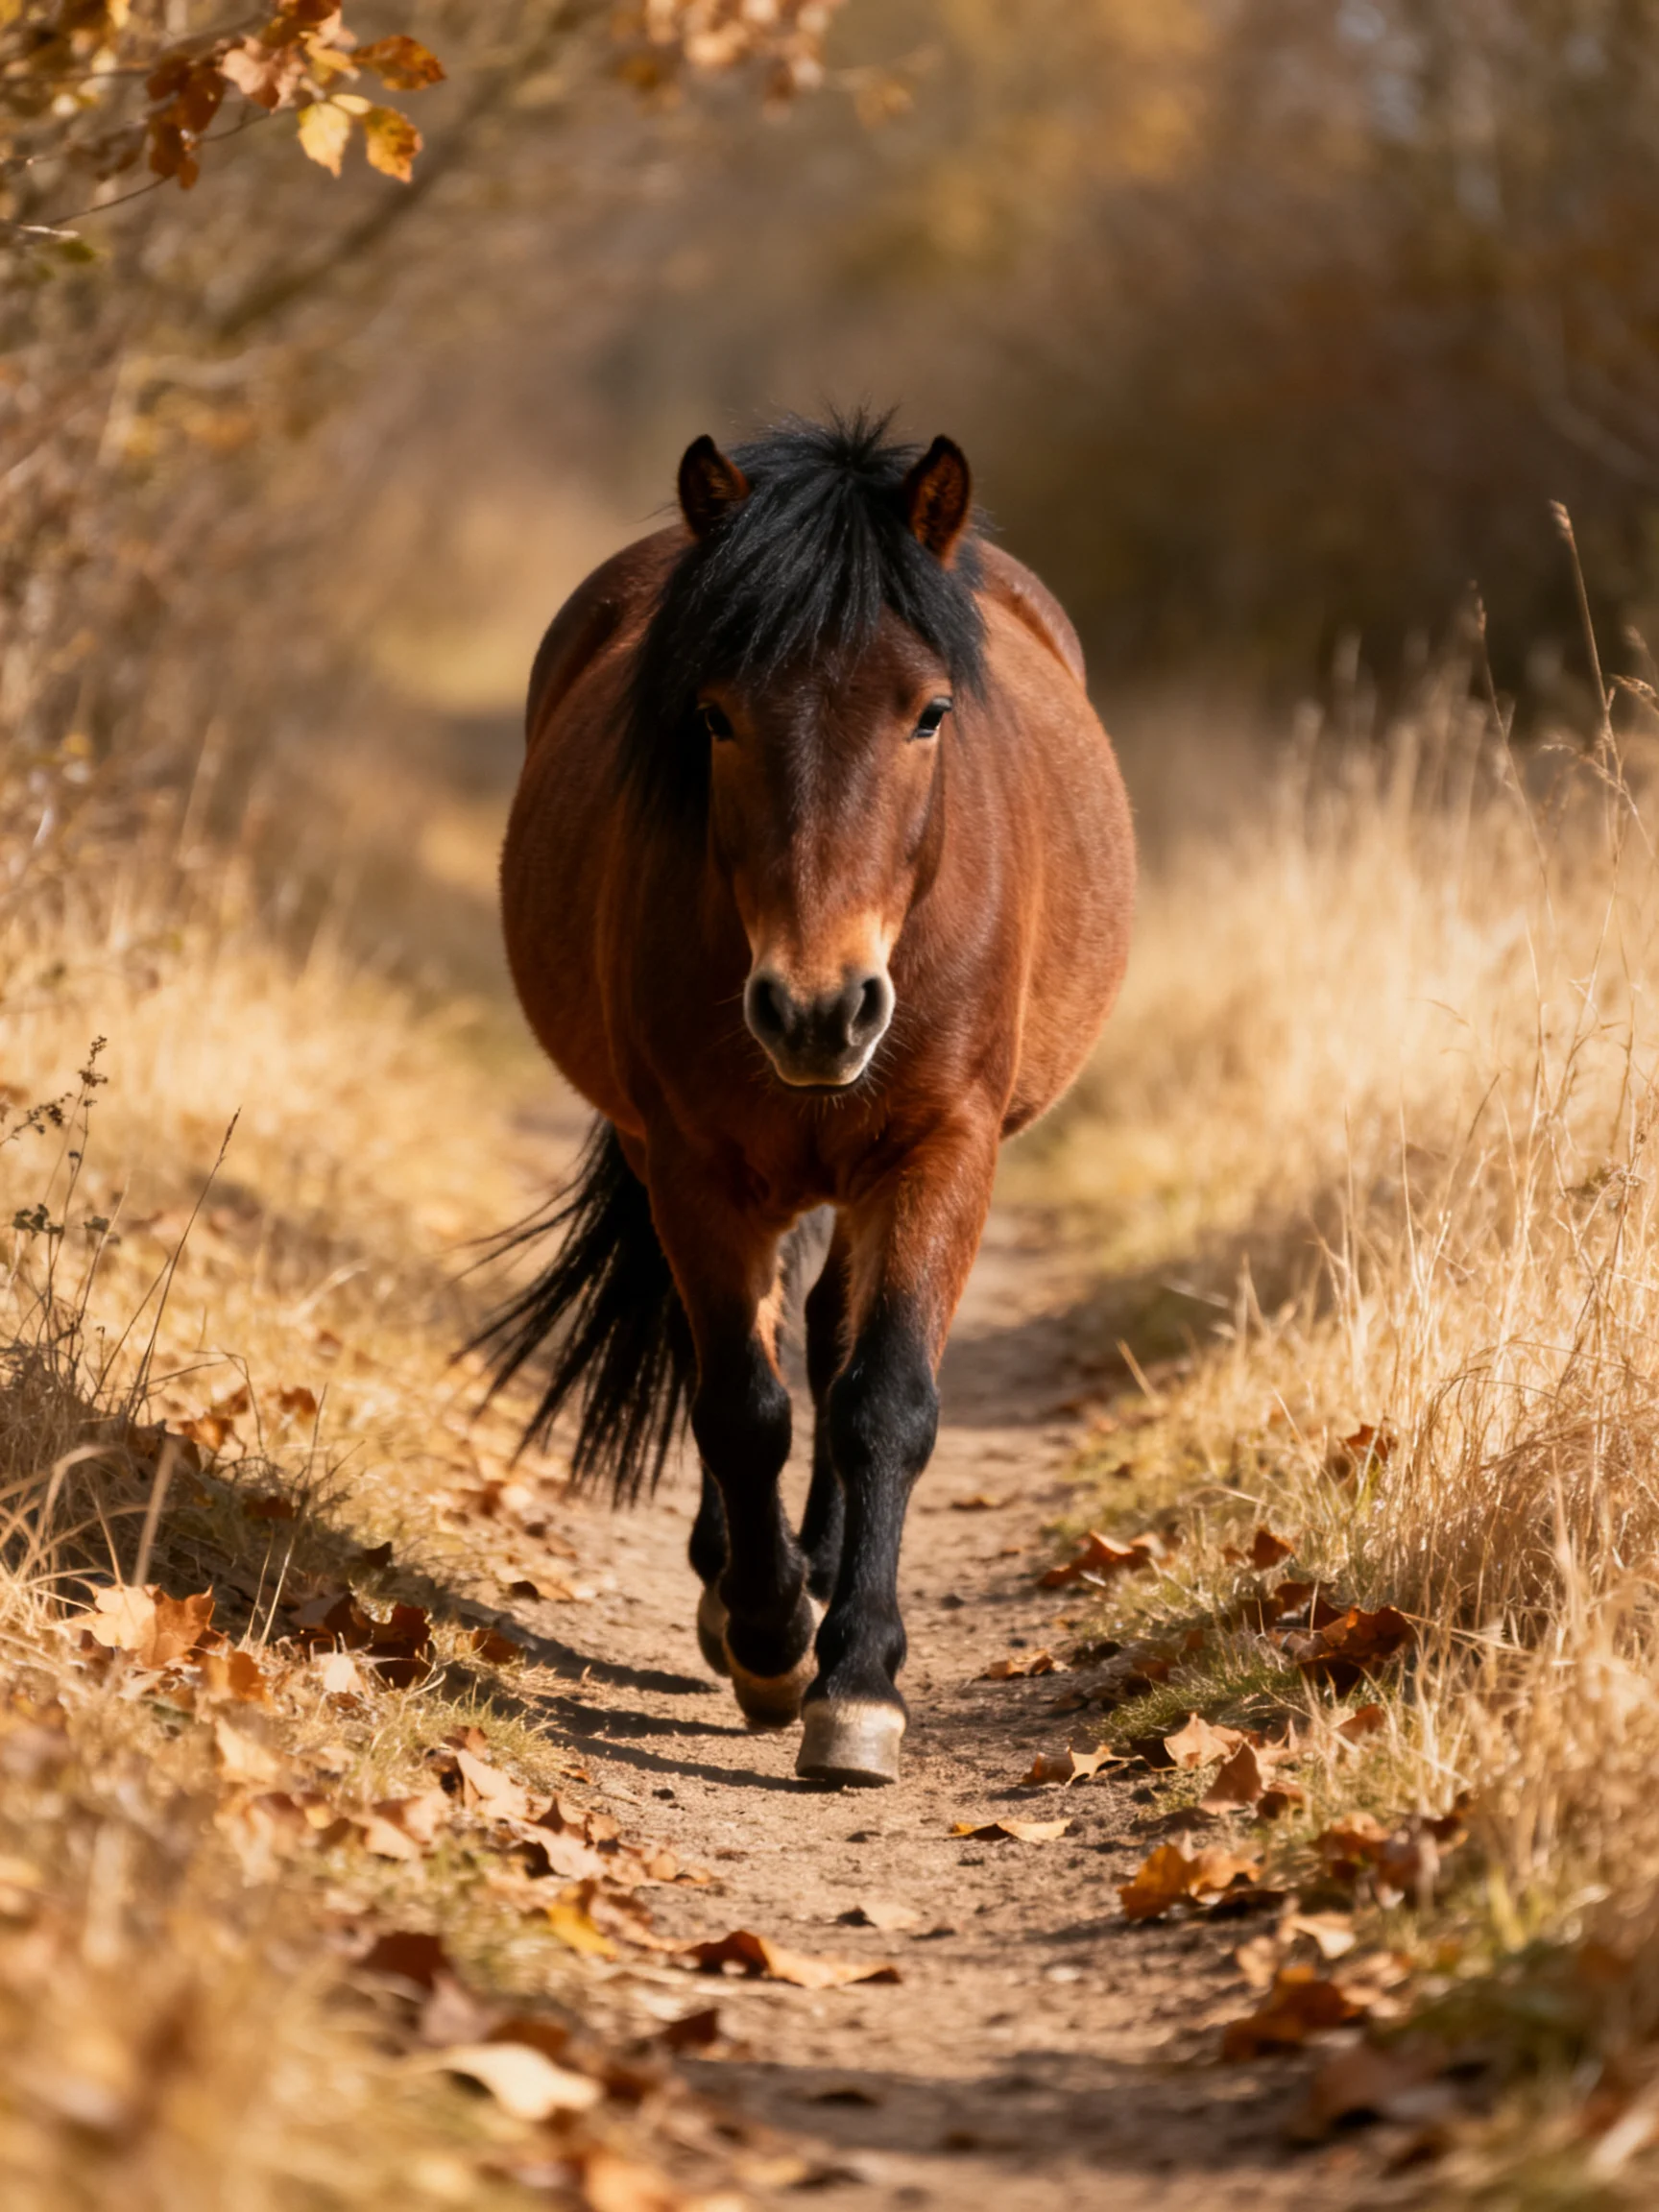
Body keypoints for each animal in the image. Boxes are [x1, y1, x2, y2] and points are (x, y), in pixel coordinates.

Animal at [486, 413, 1134, 1786]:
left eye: (930, 712)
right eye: (715, 716)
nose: (819, 1011)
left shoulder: (945, 1150)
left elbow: (884, 1401)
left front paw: (859, 1683)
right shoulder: (691, 1165)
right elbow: (741, 1403)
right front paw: (772, 1637)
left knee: (837, 1343)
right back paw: (741, 1582)